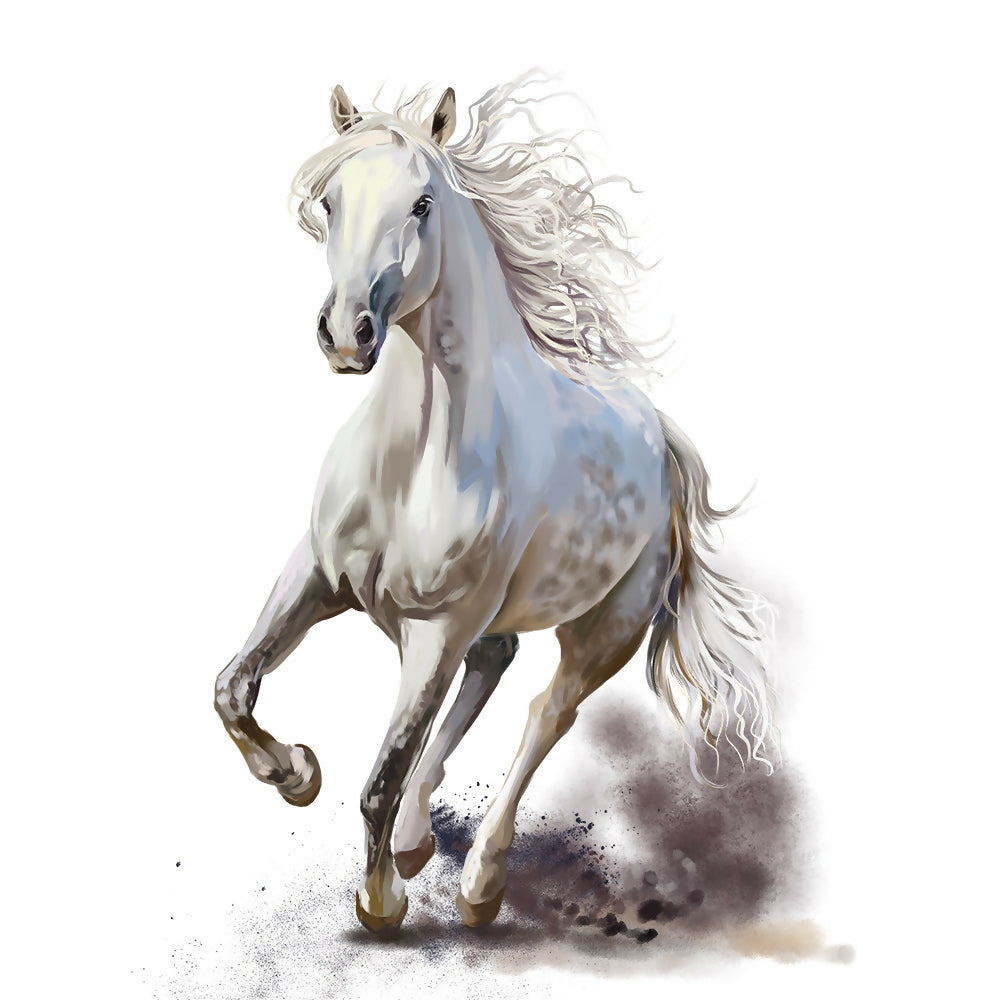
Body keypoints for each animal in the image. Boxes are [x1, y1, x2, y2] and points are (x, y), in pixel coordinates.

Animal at [214, 77, 777, 936]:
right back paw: (418, 839)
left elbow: (379, 780)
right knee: (495, 667)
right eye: (330, 201)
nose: (347, 334)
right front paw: (297, 773)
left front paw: (381, 903)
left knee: (546, 712)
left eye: (421, 204)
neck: (411, 465)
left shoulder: (437, 626)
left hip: (603, 631)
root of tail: (661, 436)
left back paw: (479, 883)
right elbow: (232, 688)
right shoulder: (317, 576)